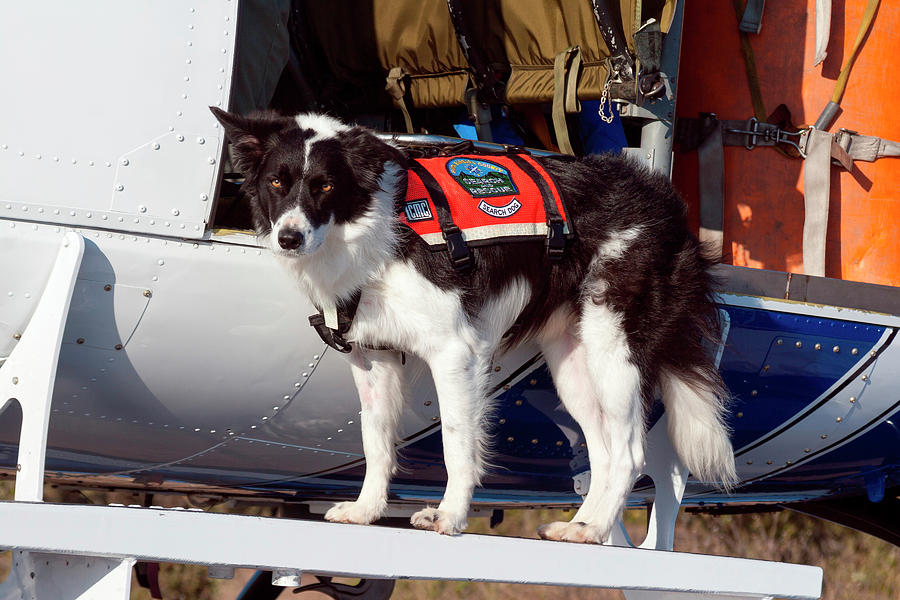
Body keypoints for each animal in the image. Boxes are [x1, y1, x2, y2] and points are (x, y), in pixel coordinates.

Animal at [213, 108, 740, 544]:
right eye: (276, 183)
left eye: (324, 186)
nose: (288, 238)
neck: (375, 227)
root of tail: (666, 204)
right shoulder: (372, 357)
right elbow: (376, 439)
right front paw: (366, 511)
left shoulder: (455, 352)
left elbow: (456, 442)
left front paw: (450, 516)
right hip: (574, 366)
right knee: (606, 451)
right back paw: (582, 526)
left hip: (614, 352)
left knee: (629, 452)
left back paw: (591, 530)